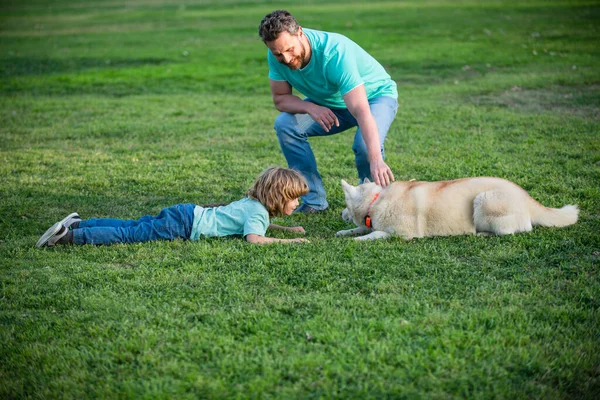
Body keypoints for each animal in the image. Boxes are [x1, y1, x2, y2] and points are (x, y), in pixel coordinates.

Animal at [338, 178, 576, 241]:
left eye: (345, 205)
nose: (341, 214)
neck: (376, 200)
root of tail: (526, 197)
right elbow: (362, 228)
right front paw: (345, 232)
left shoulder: (403, 234)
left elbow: (376, 234)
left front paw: (357, 240)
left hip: (483, 201)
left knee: (513, 231)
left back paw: (482, 234)